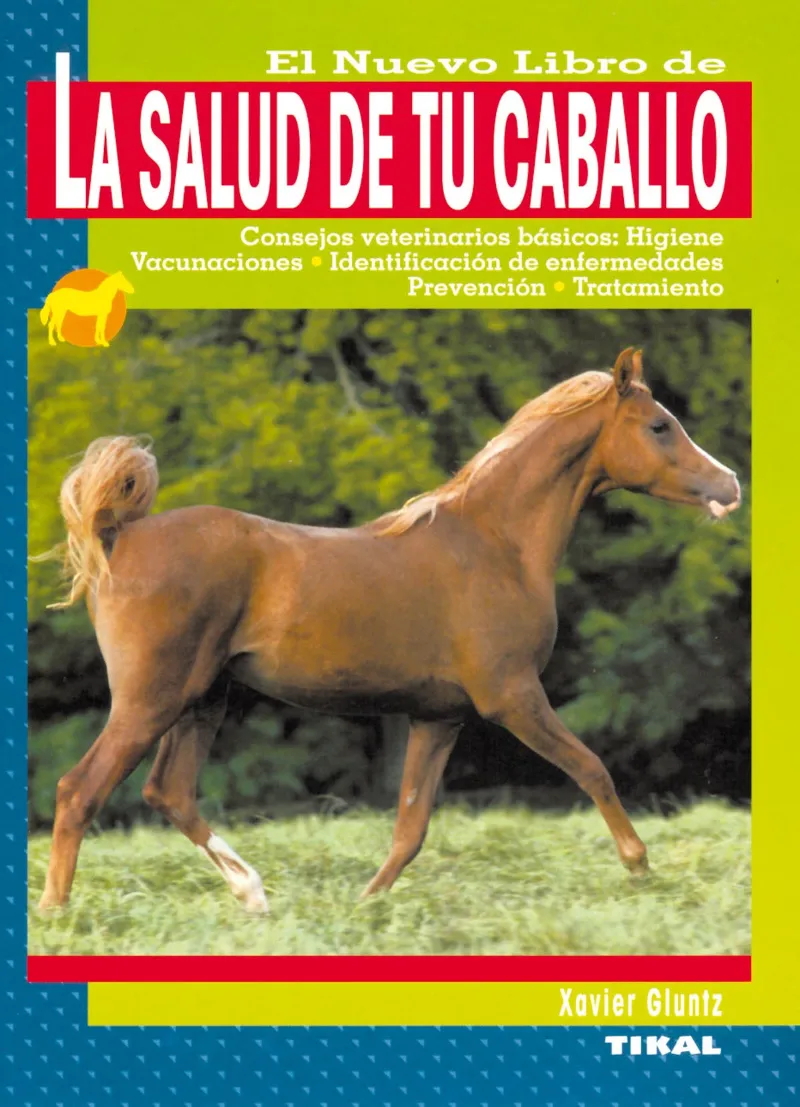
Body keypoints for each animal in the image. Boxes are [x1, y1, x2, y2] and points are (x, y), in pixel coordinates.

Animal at [35, 347, 741, 914]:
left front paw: (363, 907)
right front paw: (640, 868)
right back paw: (58, 915)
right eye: (659, 425)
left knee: (169, 792)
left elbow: (410, 829)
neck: (496, 544)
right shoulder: (513, 697)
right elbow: (593, 768)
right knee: (79, 791)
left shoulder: (439, 717)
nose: (730, 484)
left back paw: (253, 896)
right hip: (151, 700)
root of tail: (116, 534)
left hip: (203, 699)